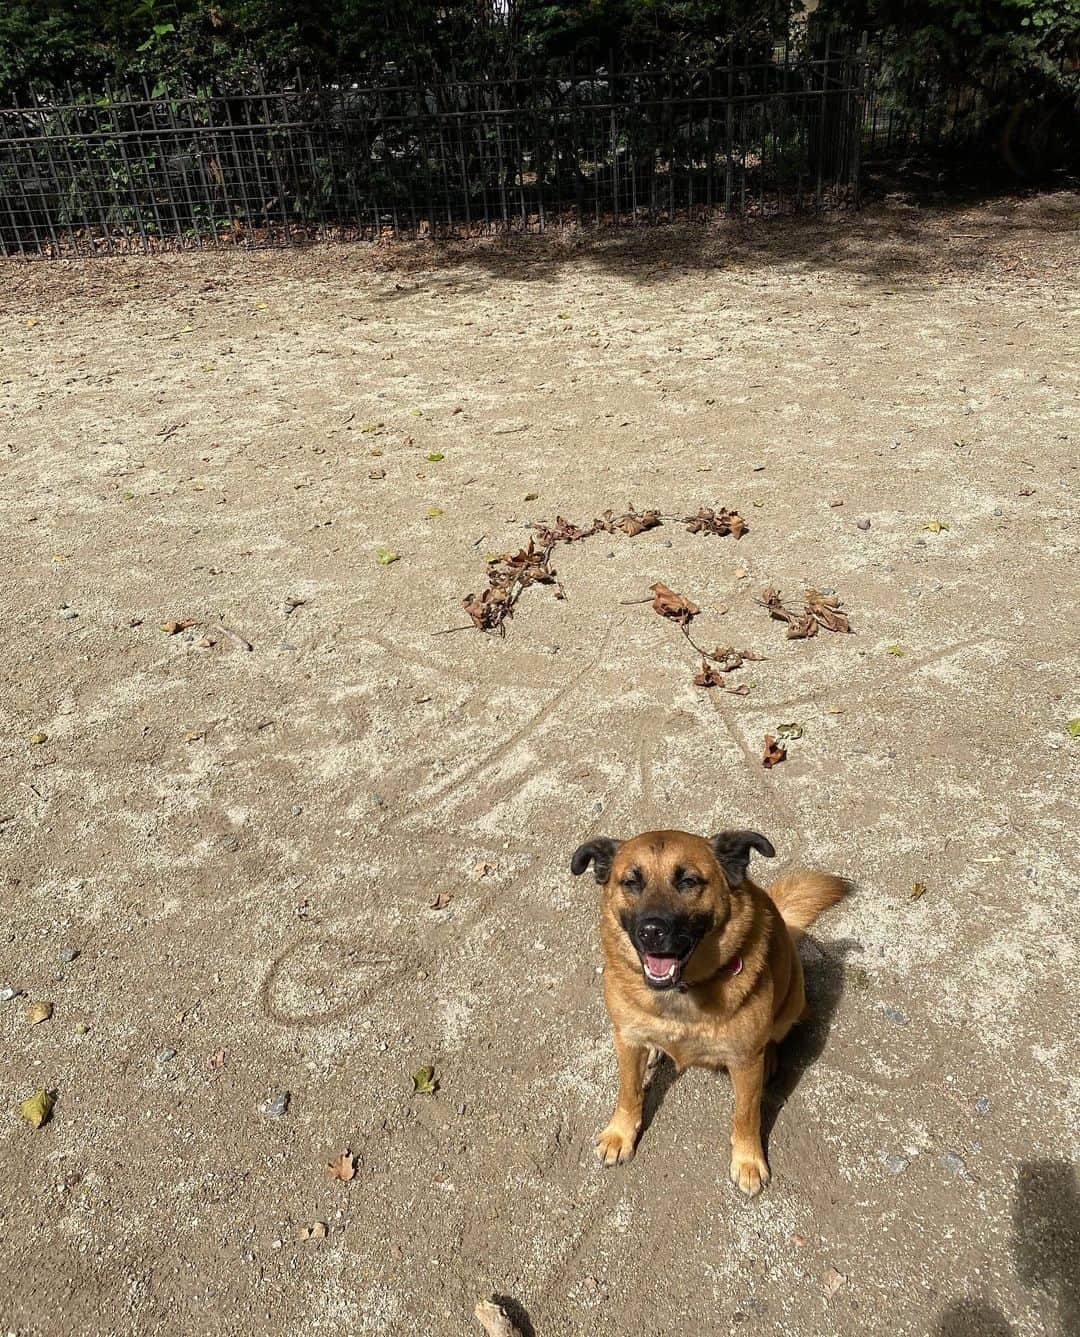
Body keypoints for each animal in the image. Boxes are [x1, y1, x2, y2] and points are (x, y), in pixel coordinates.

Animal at [569, 828, 850, 1197]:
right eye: (630, 882)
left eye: (688, 881)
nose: (650, 932)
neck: (681, 993)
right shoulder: (627, 1040)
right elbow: (629, 1091)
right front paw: (620, 1134)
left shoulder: (744, 1061)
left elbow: (746, 1115)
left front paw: (748, 1160)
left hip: (793, 1001)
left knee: (776, 1035)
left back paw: (771, 1058)